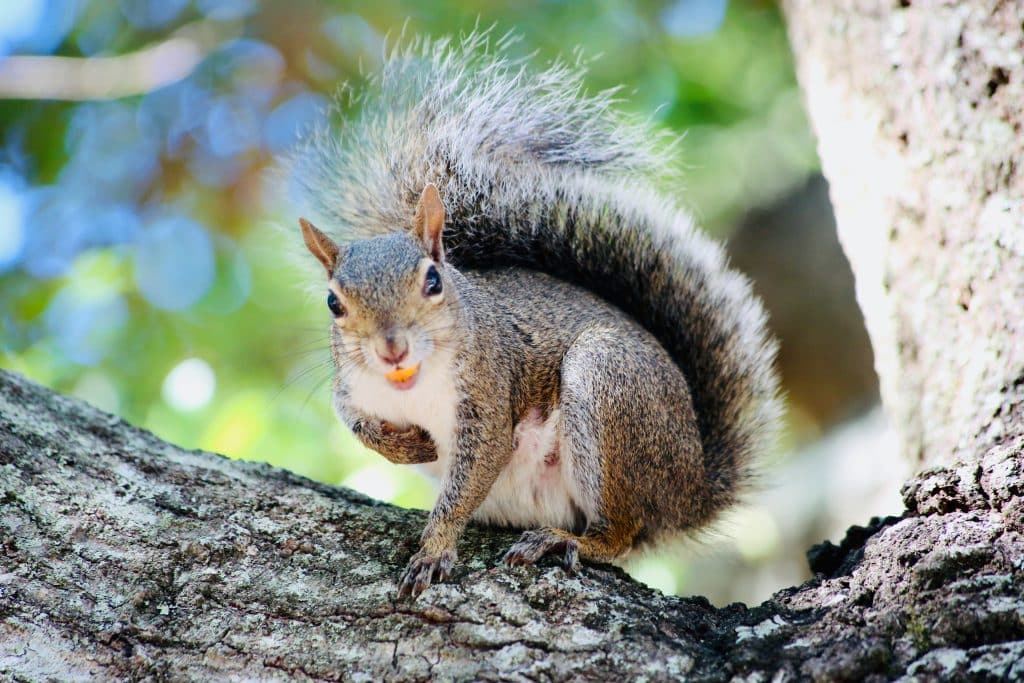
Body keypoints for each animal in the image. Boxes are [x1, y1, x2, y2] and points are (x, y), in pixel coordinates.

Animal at [289, 34, 782, 598]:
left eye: (433, 281)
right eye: (334, 303)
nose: (392, 348)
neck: (408, 387)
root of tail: (691, 490)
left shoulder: (488, 394)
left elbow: (473, 472)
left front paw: (434, 549)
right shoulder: (351, 388)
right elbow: (354, 423)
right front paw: (406, 447)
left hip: (607, 383)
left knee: (620, 533)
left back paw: (569, 541)